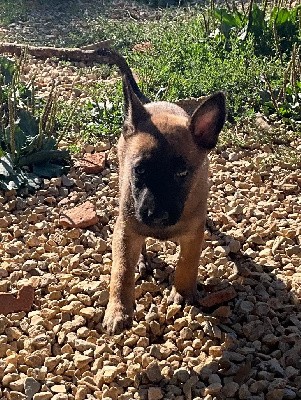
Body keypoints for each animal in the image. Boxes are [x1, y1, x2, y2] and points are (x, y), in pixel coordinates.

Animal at [98, 47, 225, 334]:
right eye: (140, 171)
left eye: (181, 174)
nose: (155, 216)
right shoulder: (125, 229)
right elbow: (121, 271)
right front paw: (118, 310)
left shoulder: (193, 234)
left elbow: (187, 263)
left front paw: (183, 292)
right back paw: (143, 261)